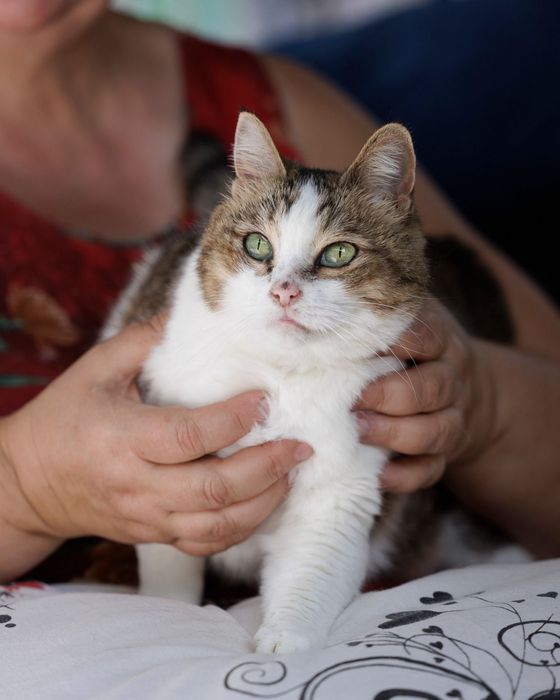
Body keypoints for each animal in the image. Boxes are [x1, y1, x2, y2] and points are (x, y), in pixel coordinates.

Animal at [103, 112, 524, 654]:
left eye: (339, 253)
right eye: (257, 245)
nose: (284, 291)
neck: (283, 376)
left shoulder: (345, 480)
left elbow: (313, 566)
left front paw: (287, 638)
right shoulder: (167, 463)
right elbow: (168, 560)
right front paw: (170, 611)